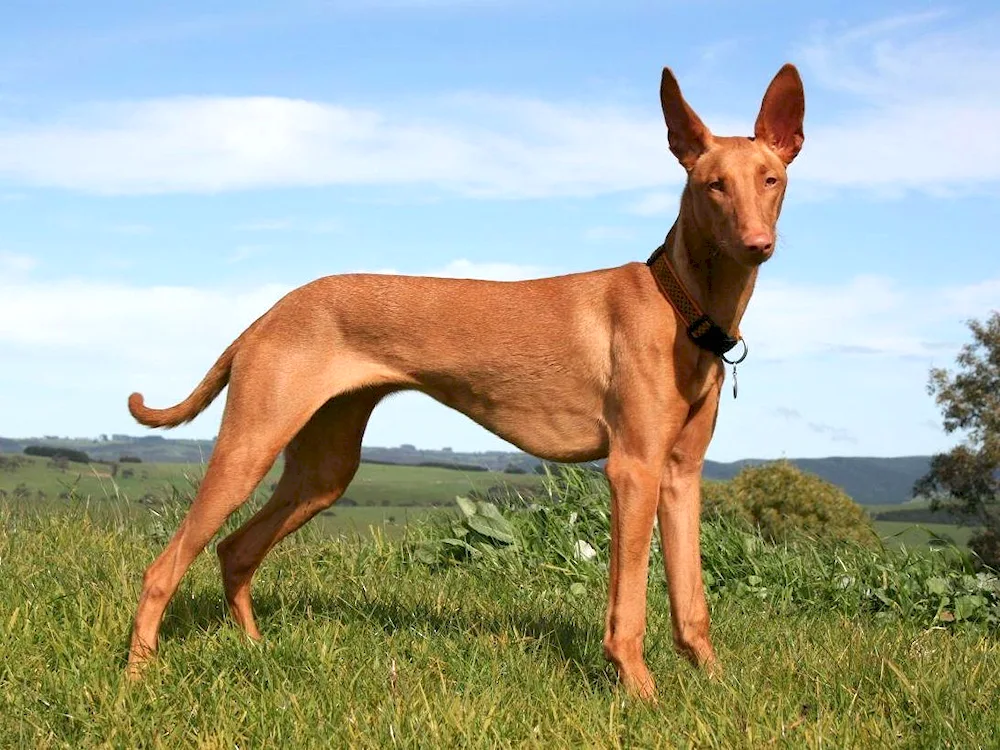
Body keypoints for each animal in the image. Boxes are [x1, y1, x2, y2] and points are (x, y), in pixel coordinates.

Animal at [127, 63, 804, 700]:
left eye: (770, 179)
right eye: (713, 184)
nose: (757, 244)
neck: (680, 303)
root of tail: (268, 314)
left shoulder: (681, 473)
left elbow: (692, 603)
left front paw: (716, 685)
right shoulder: (633, 468)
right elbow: (628, 609)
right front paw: (641, 693)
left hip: (323, 470)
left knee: (235, 550)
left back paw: (254, 650)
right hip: (249, 447)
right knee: (163, 567)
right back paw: (138, 676)